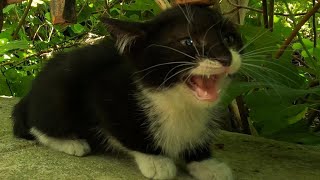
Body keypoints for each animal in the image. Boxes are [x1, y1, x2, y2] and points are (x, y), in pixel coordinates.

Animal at [12, 4, 242, 180]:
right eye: (188, 42)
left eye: (229, 39)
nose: (226, 58)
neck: (175, 101)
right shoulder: (104, 90)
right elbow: (123, 129)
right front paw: (156, 160)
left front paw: (204, 162)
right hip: (57, 92)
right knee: (36, 125)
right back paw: (70, 142)